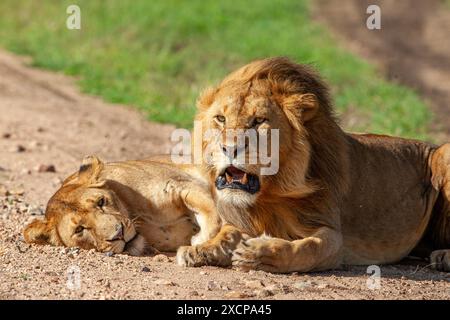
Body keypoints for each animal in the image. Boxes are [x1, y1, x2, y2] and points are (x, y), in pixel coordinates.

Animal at [24, 156, 221, 256]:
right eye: (79, 229)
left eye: (101, 202)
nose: (118, 234)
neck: (135, 213)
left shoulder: (181, 182)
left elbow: (213, 215)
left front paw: (199, 240)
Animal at [176, 56, 450, 272]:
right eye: (220, 119)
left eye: (259, 121)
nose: (229, 148)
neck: (269, 195)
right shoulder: (242, 219)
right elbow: (227, 233)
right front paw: (202, 249)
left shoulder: (332, 233)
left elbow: (308, 248)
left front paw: (260, 255)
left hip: (445, 153)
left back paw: (443, 257)